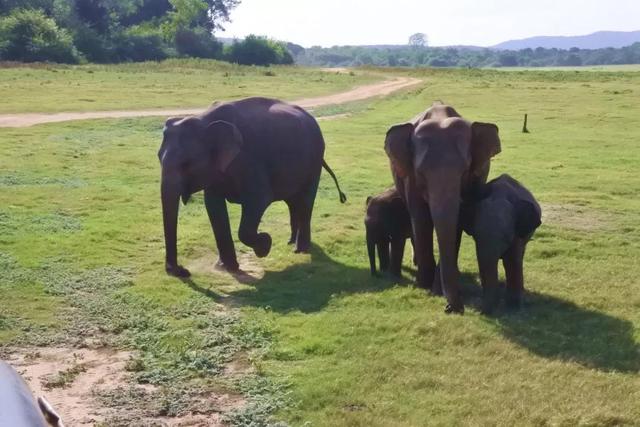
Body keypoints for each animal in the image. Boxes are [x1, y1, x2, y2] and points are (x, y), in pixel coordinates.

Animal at [161, 97, 350, 278]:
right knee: (293, 201)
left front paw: (265, 246)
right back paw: (291, 242)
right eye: (159, 158)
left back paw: (300, 249)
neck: (204, 120)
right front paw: (227, 267)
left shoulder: (250, 160)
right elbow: (214, 206)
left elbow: (259, 200)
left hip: (314, 160)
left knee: (305, 200)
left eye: (186, 164)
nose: (182, 271)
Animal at [382, 101, 502, 312]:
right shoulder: (410, 177)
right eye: (421, 172)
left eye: (465, 170)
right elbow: (421, 219)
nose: (451, 308)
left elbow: (457, 222)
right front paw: (423, 285)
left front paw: (436, 289)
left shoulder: (475, 178)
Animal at [462, 174, 544, 314]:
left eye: (506, 238)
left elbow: (512, 261)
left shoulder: (517, 233)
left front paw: (514, 308)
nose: (481, 312)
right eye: (476, 237)